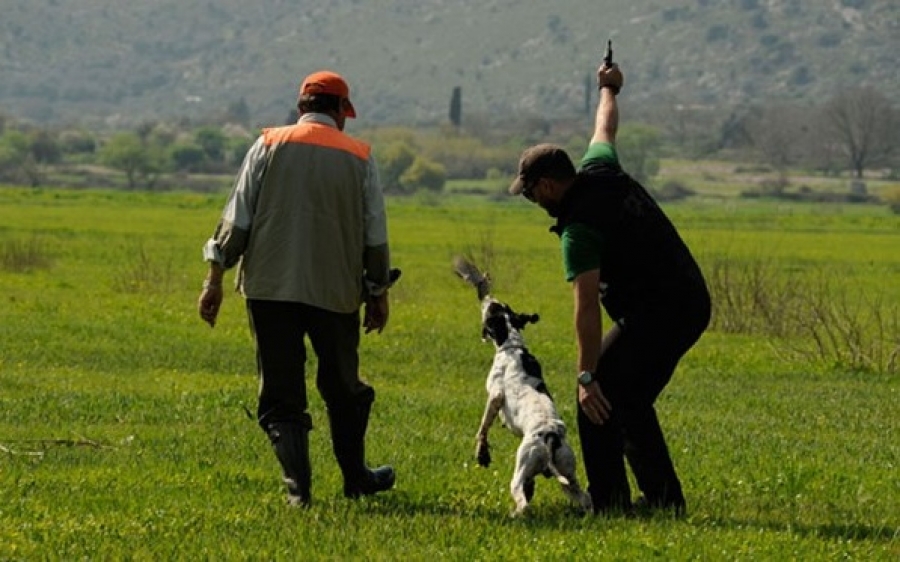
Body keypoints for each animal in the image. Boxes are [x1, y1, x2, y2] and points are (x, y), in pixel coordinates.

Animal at [454, 256, 596, 516]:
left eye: (491, 309)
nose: (487, 297)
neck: (513, 346)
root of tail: (550, 437)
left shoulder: (494, 395)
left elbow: (483, 427)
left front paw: (482, 452)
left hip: (522, 468)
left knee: (523, 501)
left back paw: (515, 515)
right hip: (568, 473)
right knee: (584, 497)